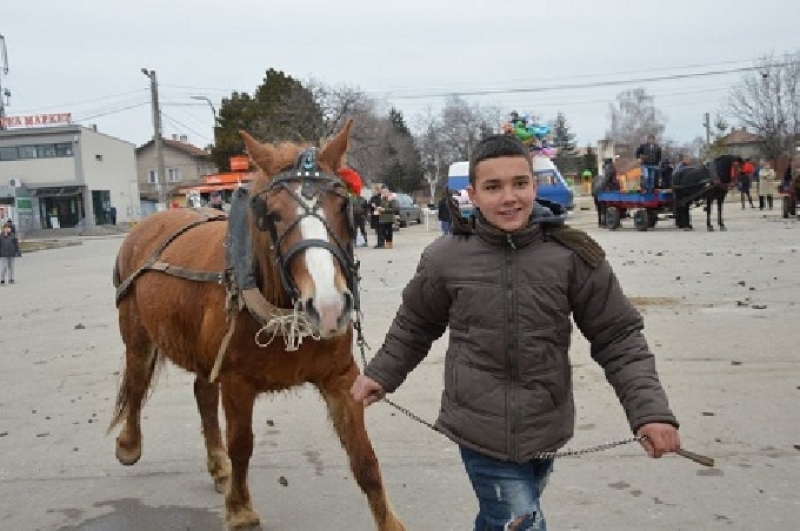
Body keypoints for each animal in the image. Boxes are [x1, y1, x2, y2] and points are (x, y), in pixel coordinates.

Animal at [108, 120, 405, 531]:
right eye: (273, 214)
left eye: (345, 206)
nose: (328, 305)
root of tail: (150, 223)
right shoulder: (236, 382)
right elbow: (242, 445)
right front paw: (240, 510)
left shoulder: (340, 377)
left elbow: (365, 460)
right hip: (137, 334)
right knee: (137, 382)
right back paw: (129, 444)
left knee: (202, 393)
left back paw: (217, 466)